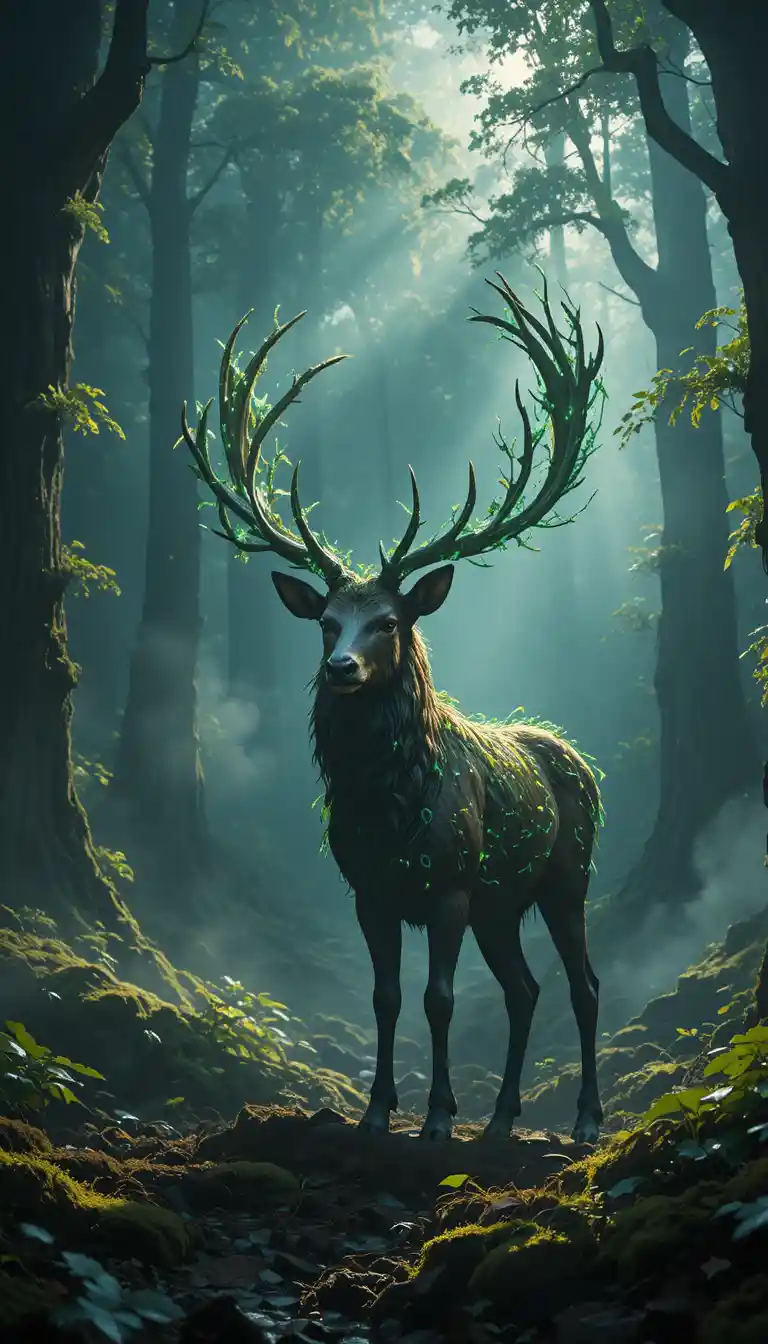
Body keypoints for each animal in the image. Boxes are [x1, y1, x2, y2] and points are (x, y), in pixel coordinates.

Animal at [181, 274, 606, 1145]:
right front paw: (378, 1111)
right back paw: (503, 1117)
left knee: (583, 985)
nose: (340, 668)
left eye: (389, 621)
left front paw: (439, 1116)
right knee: (524, 988)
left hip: (566, 876)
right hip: (500, 905)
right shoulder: (367, 892)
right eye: (325, 619)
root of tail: (575, 757)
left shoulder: (447, 886)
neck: (390, 808)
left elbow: (438, 1000)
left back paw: (584, 1117)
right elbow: (385, 998)